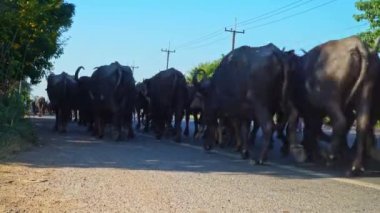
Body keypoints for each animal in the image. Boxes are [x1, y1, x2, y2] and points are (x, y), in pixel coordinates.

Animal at [284, 35, 380, 176]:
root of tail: (357, 44)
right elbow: (311, 129)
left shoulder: (306, 109)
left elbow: (307, 127)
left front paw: (310, 152)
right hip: (365, 90)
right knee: (362, 124)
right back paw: (354, 166)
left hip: (330, 99)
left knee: (340, 121)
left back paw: (330, 155)